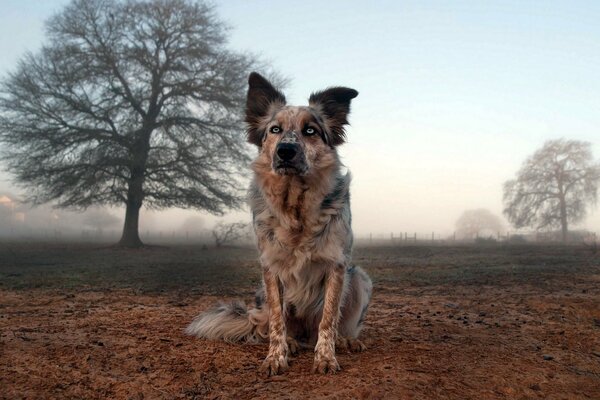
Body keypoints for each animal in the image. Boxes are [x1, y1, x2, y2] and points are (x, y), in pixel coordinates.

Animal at [185, 72, 372, 376]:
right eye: (275, 129)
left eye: (310, 131)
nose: (285, 151)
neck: (295, 206)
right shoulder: (270, 268)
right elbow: (276, 321)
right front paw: (275, 357)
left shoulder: (336, 266)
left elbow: (328, 319)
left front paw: (326, 357)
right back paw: (292, 343)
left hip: (359, 278)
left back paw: (345, 340)